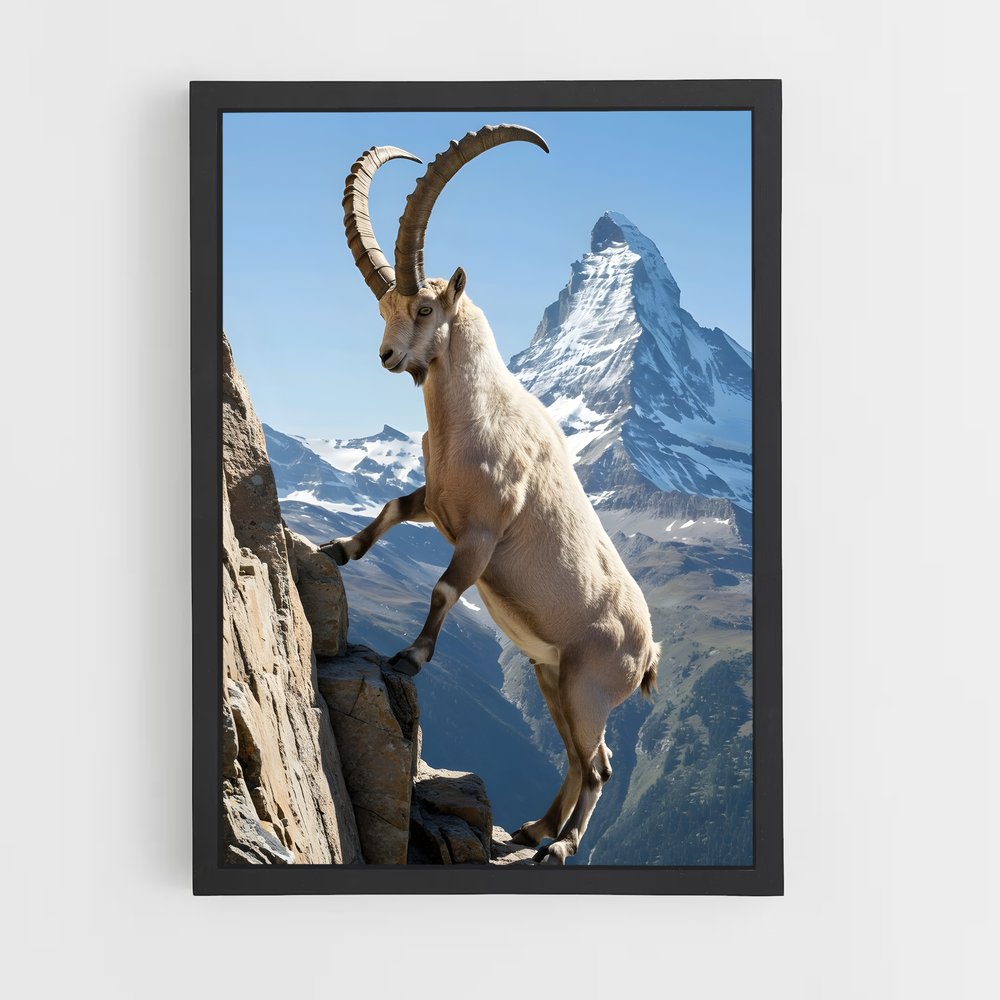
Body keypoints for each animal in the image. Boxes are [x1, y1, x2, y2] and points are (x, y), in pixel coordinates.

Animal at [324, 125, 660, 864]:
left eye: (424, 307)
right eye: (386, 307)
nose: (389, 358)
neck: (474, 418)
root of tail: (648, 651)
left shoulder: (482, 533)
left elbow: (445, 588)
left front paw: (410, 657)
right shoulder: (438, 502)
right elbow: (391, 508)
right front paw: (337, 550)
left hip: (589, 686)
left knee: (599, 766)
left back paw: (560, 845)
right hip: (550, 676)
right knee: (580, 759)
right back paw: (537, 828)